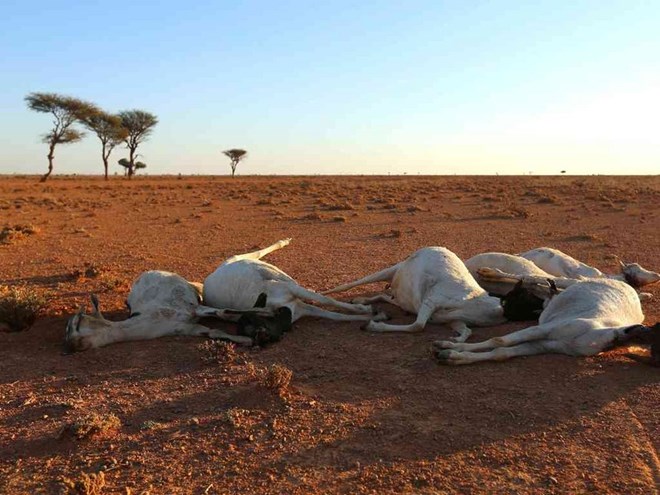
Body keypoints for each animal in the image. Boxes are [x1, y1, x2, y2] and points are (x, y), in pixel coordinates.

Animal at [64, 270, 261, 352]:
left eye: (76, 323)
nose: (70, 347)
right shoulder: (186, 328)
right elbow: (214, 332)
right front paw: (248, 340)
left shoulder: (193, 307)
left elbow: (223, 312)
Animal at [203, 238, 387, 323]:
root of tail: (211, 276)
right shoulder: (298, 303)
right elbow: (335, 314)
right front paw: (371, 312)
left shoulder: (293, 291)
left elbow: (328, 303)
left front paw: (368, 310)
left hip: (241, 259)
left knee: (258, 253)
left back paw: (283, 242)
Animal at [323, 247, 505, 341]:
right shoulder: (431, 300)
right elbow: (418, 326)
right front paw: (372, 326)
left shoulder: (453, 320)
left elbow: (467, 331)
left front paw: (454, 340)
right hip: (391, 270)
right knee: (351, 284)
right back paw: (325, 293)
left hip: (402, 296)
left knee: (387, 296)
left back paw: (360, 300)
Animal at [434, 279, 657, 364]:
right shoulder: (545, 330)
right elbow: (499, 340)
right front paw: (448, 345)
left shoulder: (546, 345)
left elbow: (501, 352)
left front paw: (454, 356)